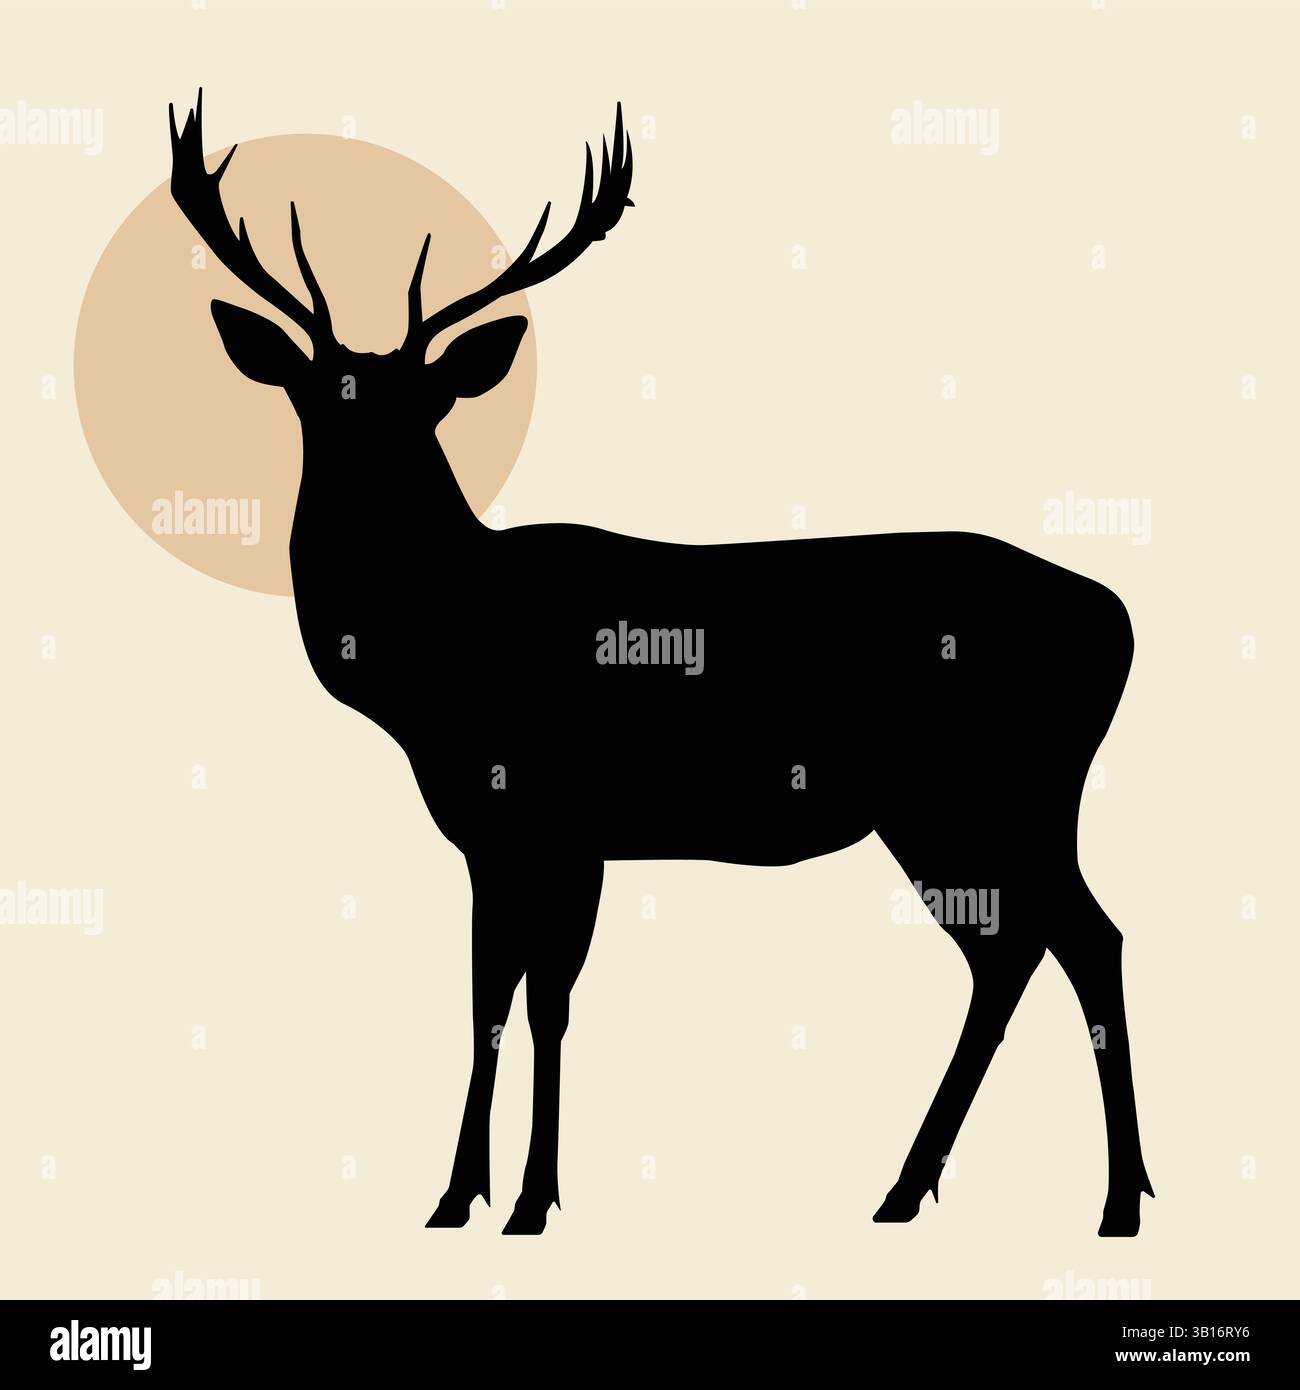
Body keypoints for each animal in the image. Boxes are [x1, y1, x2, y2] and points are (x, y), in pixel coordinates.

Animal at [167, 92, 1154, 1237]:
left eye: (429, 403)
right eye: (322, 395)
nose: (366, 488)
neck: (437, 664)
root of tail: (1117, 618)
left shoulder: (559, 816)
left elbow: (541, 1002)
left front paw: (529, 1200)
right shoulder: (499, 833)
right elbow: (492, 997)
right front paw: (461, 1195)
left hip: (996, 790)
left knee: (1082, 937)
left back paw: (1114, 1200)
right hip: (952, 810)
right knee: (1016, 949)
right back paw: (910, 1189)